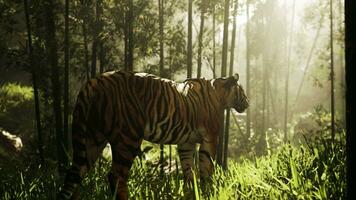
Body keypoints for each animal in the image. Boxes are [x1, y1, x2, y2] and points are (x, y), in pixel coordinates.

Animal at [57, 70, 248, 200]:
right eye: (242, 91)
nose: (248, 102)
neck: (219, 93)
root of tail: (94, 81)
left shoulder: (186, 142)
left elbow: (189, 172)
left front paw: (191, 193)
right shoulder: (211, 138)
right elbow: (206, 169)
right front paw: (208, 191)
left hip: (92, 139)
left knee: (75, 173)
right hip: (128, 139)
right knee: (115, 176)